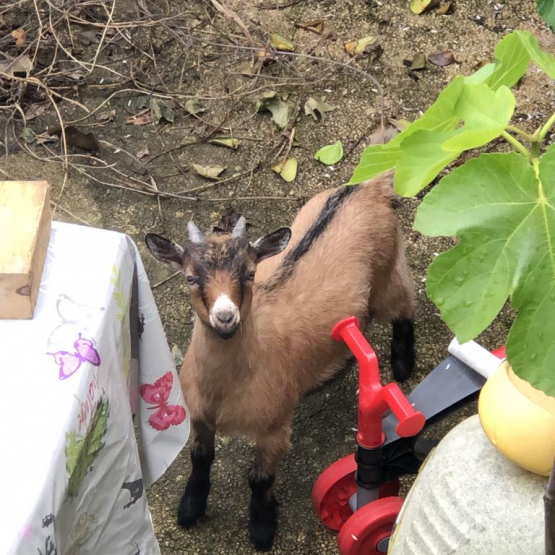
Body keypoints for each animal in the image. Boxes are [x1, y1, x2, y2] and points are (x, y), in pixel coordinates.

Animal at [146, 125, 414, 552]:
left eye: (250, 274)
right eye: (189, 277)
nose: (226, 317)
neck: (227, 388)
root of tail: (364, 187)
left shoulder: (273, 427)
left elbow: (260, 479)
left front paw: (261, 529)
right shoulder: (200, 416)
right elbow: (200, 459)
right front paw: (190, 508)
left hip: (387, 272)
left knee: (405, 305)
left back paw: (403, 364)